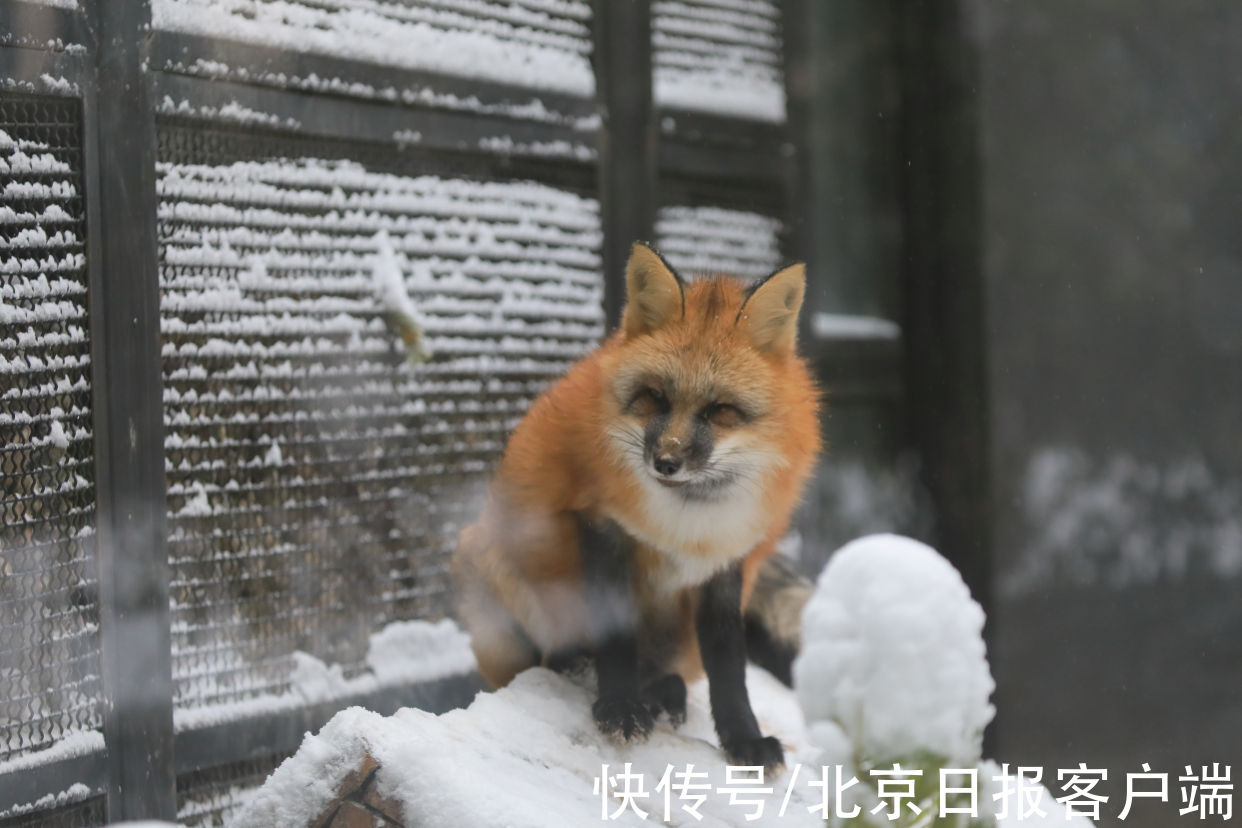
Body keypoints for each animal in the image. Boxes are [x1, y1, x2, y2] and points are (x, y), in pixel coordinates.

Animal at [452, 240, 819, 769]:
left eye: (721, 411)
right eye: (654, 398)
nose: (665, 461)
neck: (687, 523)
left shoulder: (728, 558)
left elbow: (729, 664)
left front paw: (743, 739)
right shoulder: (602, 528)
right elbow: (616, 636)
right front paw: (620, 708)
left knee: (670, 671)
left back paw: (664, 695)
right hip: (495, 573)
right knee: (540, 660)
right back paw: (574, 666)